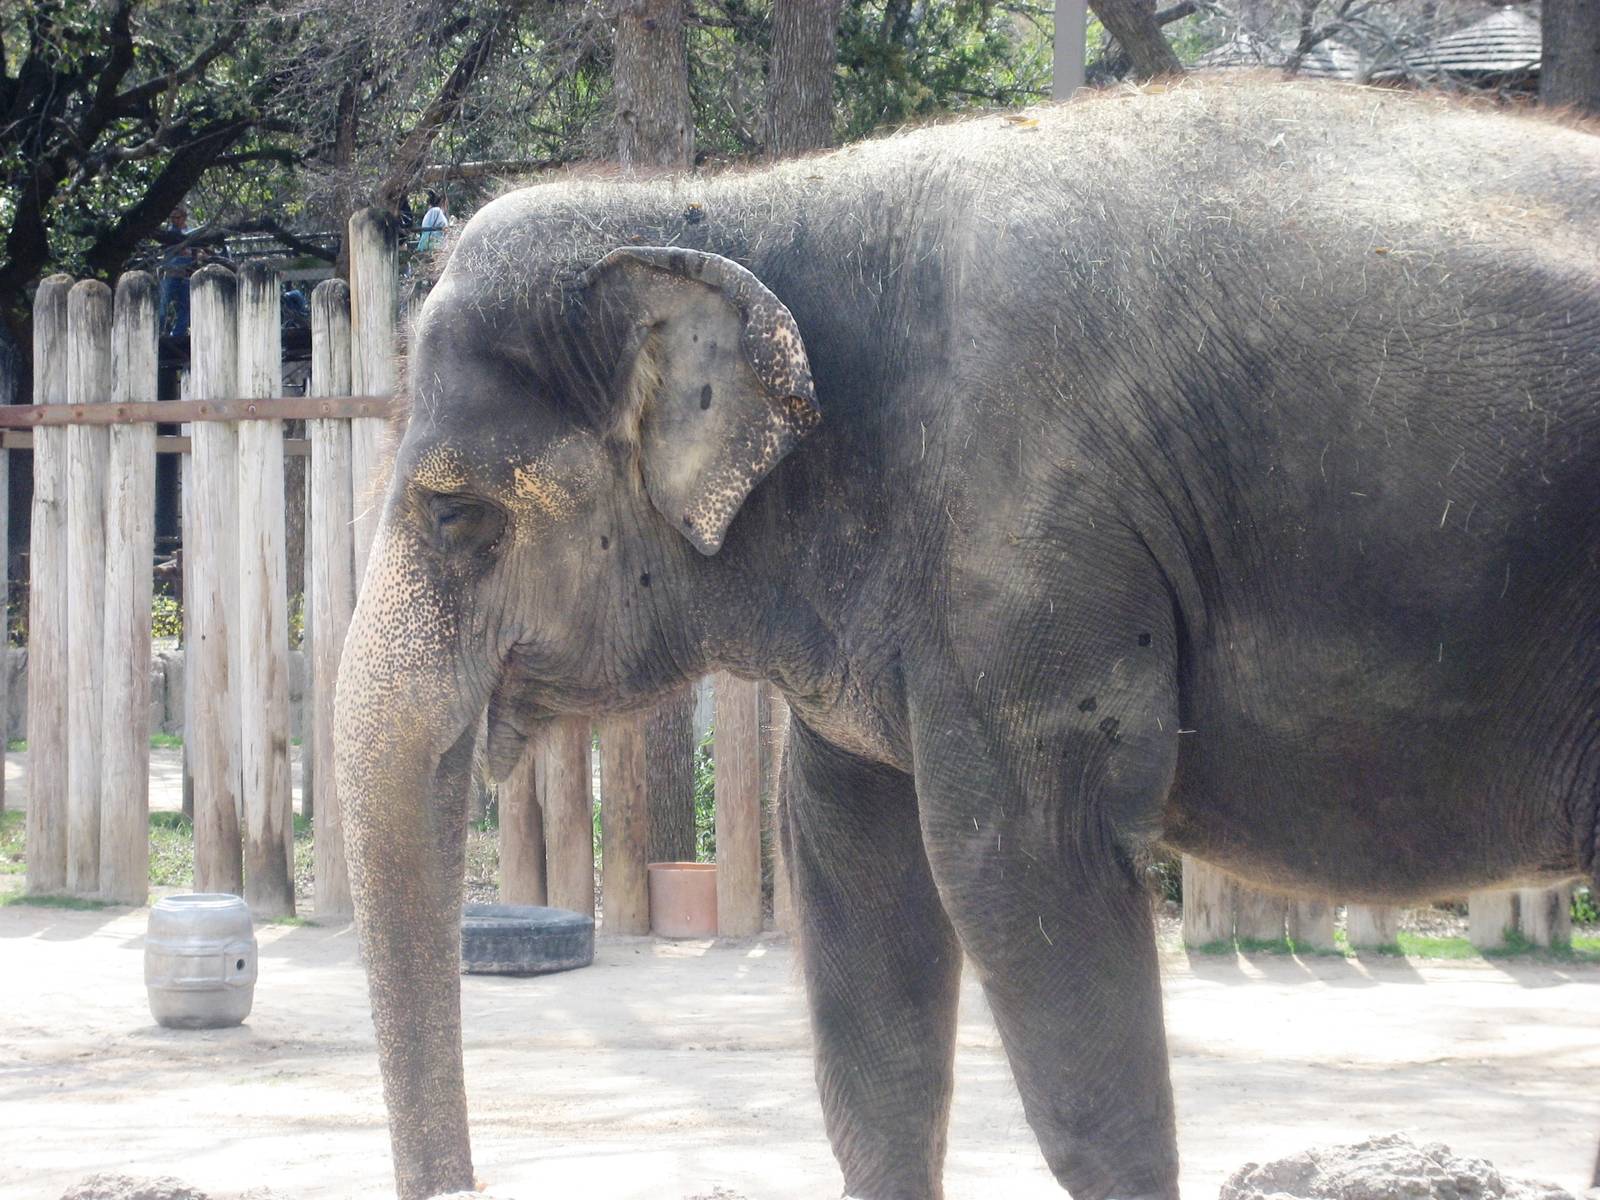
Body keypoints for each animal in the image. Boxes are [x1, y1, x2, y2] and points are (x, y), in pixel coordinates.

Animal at [333, 79, 1600, 1200]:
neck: (734, 208)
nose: (469, 1185)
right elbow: (853, 882)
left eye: (457, 519)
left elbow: (1020, 866)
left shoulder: (1028, 555)